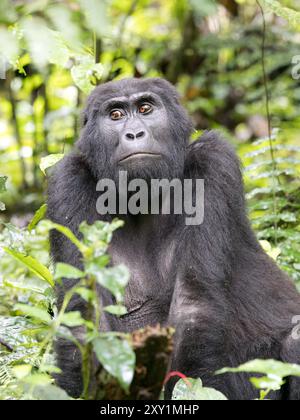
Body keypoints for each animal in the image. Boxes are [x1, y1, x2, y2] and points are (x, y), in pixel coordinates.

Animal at [47, 78, 300, 400]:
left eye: (146, 108)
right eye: (115, 115)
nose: (135, 133)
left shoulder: (211, 159)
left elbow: (194, 306)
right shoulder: (67, 183)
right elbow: (84, 318)